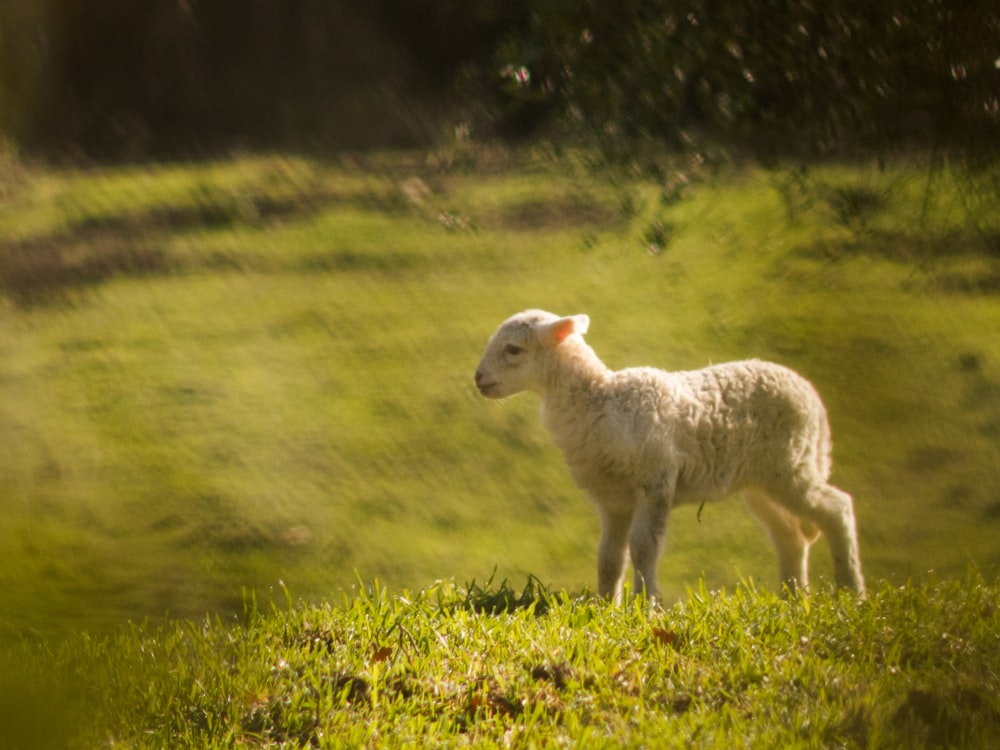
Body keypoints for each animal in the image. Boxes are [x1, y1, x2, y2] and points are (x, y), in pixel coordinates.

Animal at [472, 308, 864, 604]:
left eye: (513, 349)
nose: (478, 379)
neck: (599, 400)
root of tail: (811, 395)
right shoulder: (613, 496)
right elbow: (609, 557)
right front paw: (606, 606)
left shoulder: (656, 479)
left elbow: (644, 547)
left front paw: (645, 605)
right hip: (763, 480)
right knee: (790, 536)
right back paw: (792, 598)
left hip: (792, 464)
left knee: (837, 507)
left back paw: (851, 591)